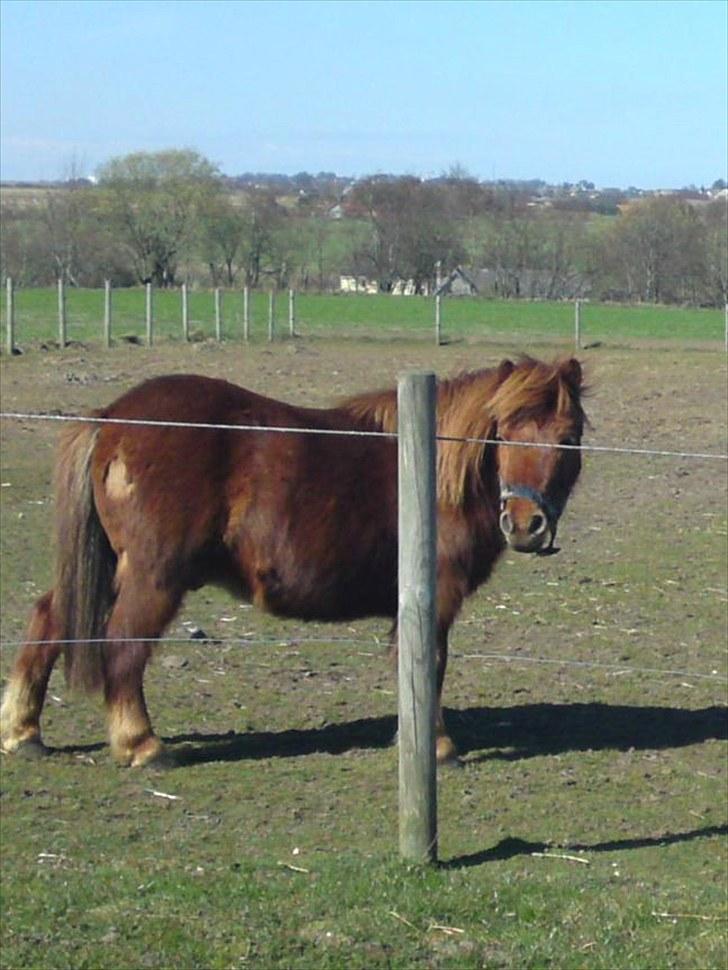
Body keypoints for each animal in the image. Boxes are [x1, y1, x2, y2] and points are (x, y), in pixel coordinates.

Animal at [0, 356, 584, 764]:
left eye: (567, 438)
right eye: (504, 431)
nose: (525, 524)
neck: (433, 467)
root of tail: (111, 419)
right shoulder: (433, 598)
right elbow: (429, 665)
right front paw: (436, 746)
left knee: (50, 619)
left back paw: (23, 732)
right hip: (153, 577)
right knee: (122, 647)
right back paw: (141, 744)